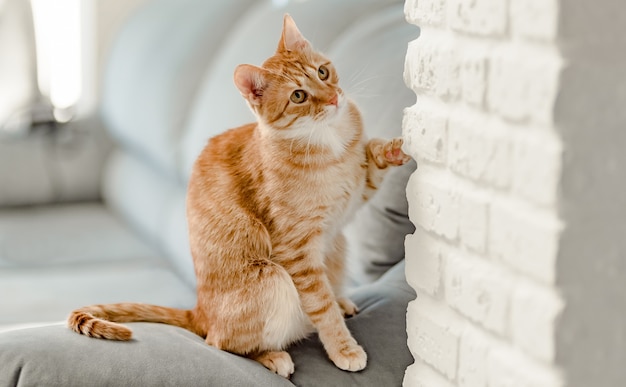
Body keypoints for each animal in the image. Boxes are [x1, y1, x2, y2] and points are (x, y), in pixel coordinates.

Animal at [68, 15, 410, 378]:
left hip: (338, 245)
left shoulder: (354, 194)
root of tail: (198, 311)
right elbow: (321, 306)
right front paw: (343, 348)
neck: (328, 140)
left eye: (322, 72)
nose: (333, 99)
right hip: (272, 280)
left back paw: (341, 301)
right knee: (220, 342)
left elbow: (372, 157)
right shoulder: (297, 252)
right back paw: (273, 356)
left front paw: (396, 148)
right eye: (298, 96)